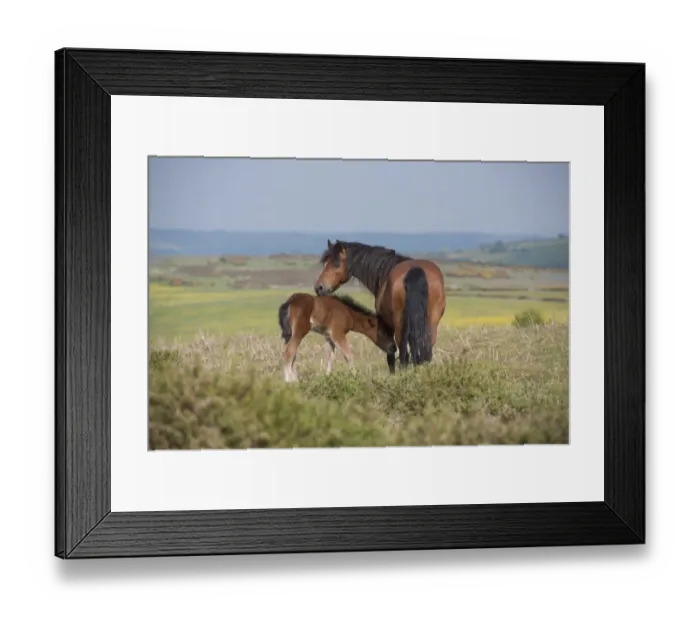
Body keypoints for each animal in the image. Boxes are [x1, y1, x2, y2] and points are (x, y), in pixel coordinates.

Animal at [314, 239, 446, 370]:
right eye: (324, 263)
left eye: (336, 264)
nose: (318, 287)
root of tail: (415, 270)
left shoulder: (387, 324)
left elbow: (390, 354)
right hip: (431, 323)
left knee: (403, 351)